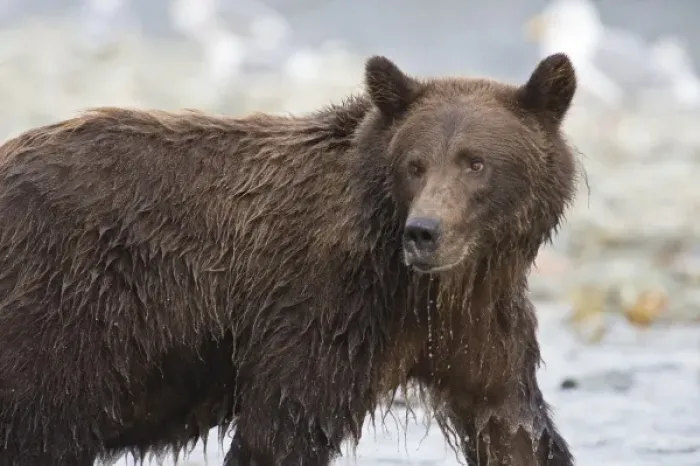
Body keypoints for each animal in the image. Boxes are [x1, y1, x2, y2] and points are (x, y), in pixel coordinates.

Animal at [0, 52, 579, 466]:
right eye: (415, 164)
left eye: (475, 163)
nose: (424, 232)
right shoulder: (323, 308)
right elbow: (281, 430)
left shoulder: (478, 324)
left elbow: (510, 425)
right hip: (66, 308)